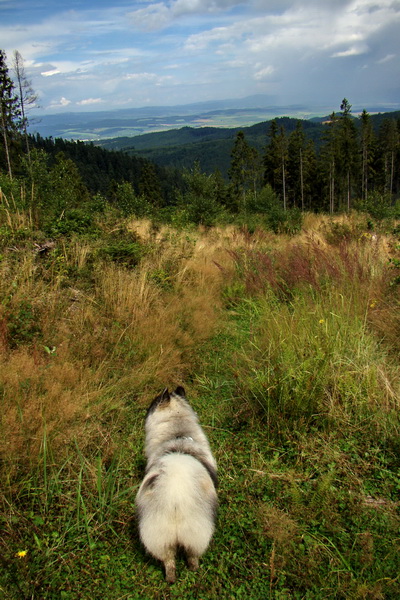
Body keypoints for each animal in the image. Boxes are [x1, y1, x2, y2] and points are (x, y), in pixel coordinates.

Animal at [135, 386, 219, 584]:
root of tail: (175, 499)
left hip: (158, 536)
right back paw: (193, 571)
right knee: (192, 557)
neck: (177, 434)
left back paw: (171, 578)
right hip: (198, 533)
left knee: (169, 560)